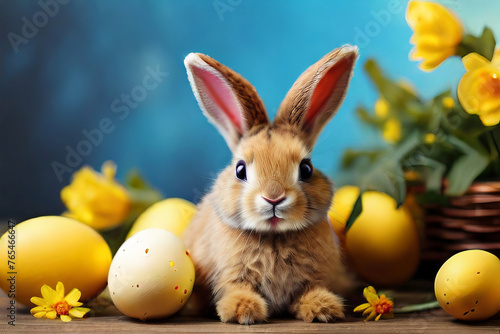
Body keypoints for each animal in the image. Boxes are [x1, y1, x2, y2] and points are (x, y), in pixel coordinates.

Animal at [182, 44, 358, 324]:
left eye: (306, 168)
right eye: (240, 170)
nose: (273, 198)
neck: (274, 238)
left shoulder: (316, 274)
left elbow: (311, 289)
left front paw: (322, 308)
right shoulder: (232, 275)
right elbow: (237, 288)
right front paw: (243, 311)